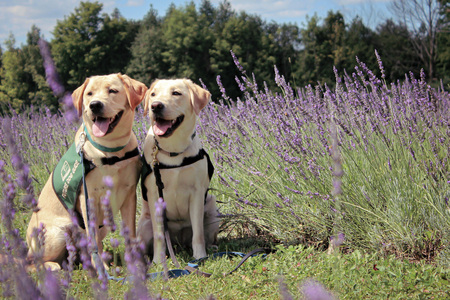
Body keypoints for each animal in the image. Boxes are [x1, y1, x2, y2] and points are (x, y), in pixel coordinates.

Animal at [26, 74, 147, 270]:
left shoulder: (129, 194)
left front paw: (134, 262)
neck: (111, 152)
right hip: (57, 233)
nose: (95, 105)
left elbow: (130, 233)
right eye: (89, 94)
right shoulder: (88, 198)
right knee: (31, 263)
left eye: (112, 90)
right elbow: (93, 238)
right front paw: (102, 269)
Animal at [138, 79, 221, 262]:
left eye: (176, 93)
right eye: (153, 94)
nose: (155, 106)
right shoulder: (155, 195)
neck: (173, 150)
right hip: (144, 225)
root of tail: (179, 242)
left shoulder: (197, 193)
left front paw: (200, 256)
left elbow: (198, 233)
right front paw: (158, 261)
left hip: (212, 211)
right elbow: (159, 236)